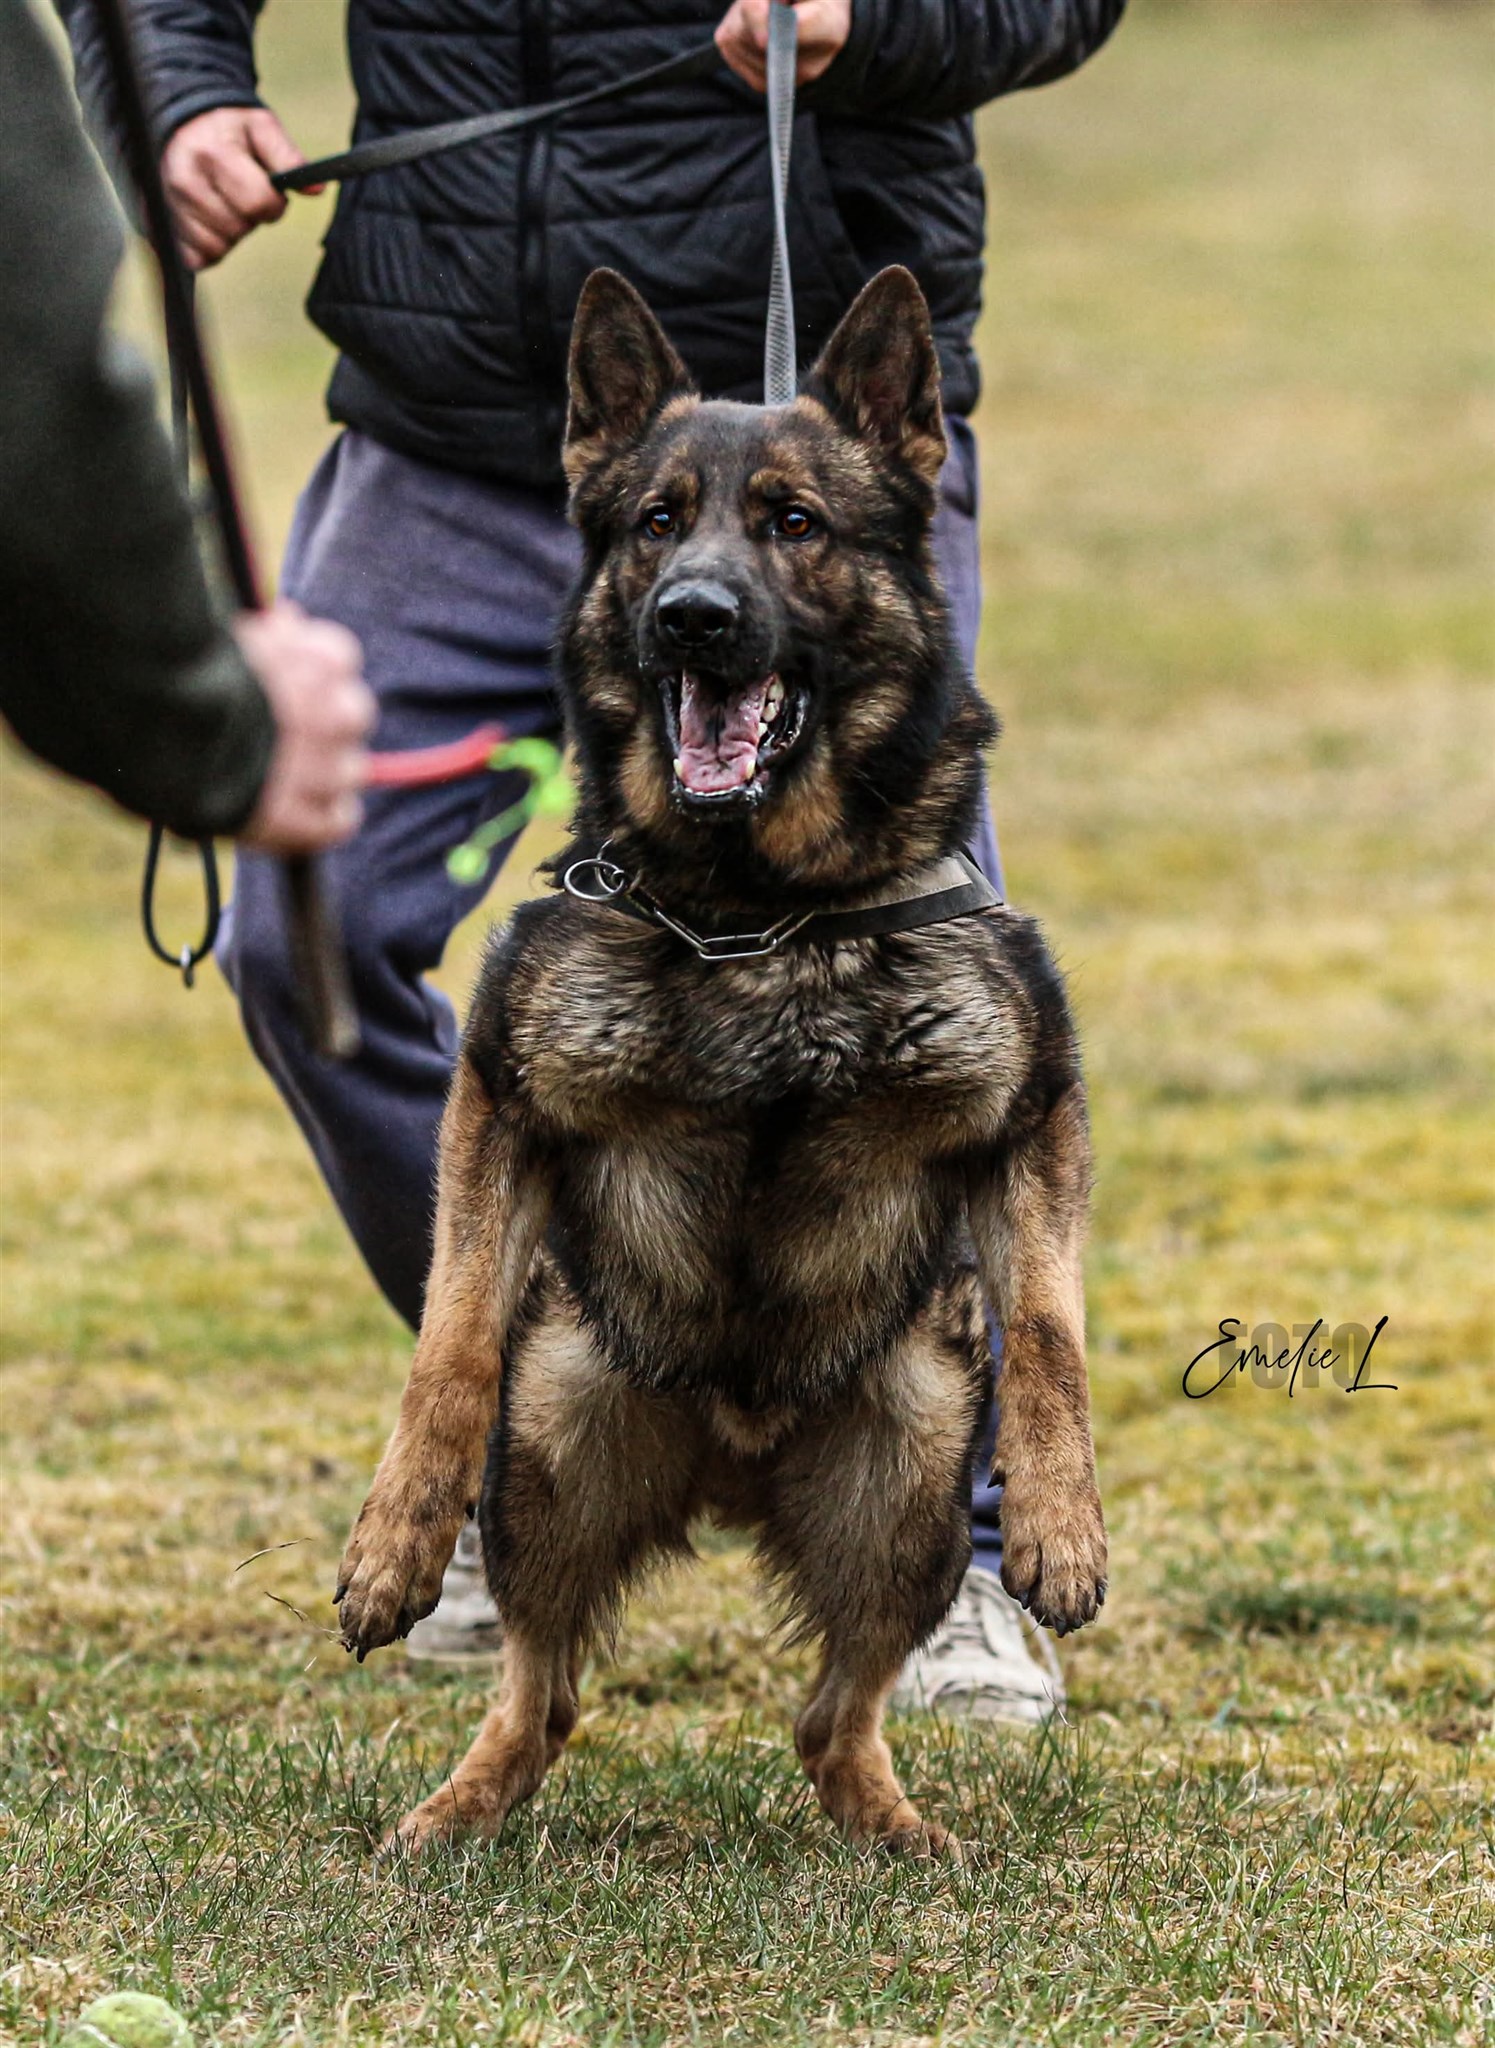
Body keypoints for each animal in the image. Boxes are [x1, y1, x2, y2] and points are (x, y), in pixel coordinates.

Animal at [334, 264, 1107, 1859]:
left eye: (792, 522)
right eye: (653, 522)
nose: (691, 617)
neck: (758, 907)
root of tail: (733, 1458)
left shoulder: (1030, 1109)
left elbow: (1051, 1329)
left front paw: (1062, 1525)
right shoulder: (500, 1103)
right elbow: (447, 1343)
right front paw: (392, 1542)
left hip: (909, 1466)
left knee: (828, 1714)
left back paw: (899, 1831)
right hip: (560, 1444)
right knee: (545, 1692)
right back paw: (452, 1811)